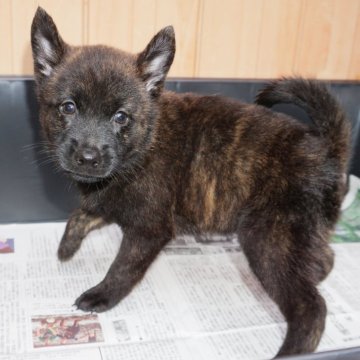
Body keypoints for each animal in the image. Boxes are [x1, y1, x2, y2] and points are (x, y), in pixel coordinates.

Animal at [29, 6, 350, 358]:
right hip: (301, 233)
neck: (145, 144)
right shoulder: (111, 201)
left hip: (268, 239)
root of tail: (325, 147)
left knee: (311, 307)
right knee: (324, 258)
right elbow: (82, 213)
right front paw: (67, 247)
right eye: (68, 107)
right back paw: (318, 272)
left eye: (121, 117)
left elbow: (123, 268)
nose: (88, 158)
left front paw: (102, 295)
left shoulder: (148, 231)